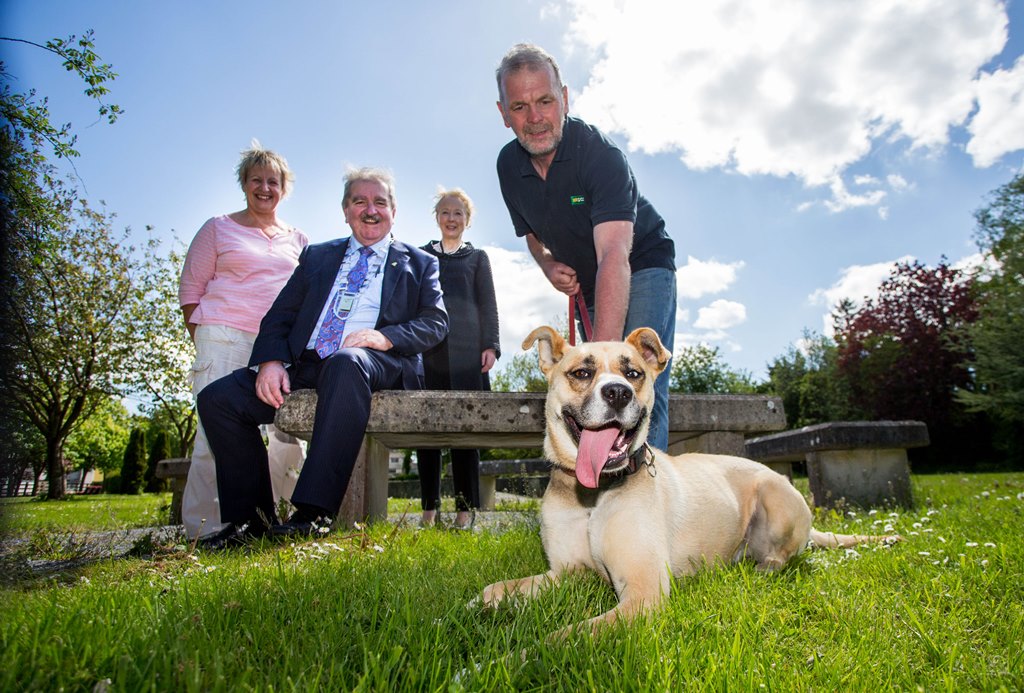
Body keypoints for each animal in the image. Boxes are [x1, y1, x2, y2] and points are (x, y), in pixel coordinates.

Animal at [479, 327, 897, 634]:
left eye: (633, 373)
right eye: (581, 372)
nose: (618, 392)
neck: (593, 497)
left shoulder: (643, 594)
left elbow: (564, 637)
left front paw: (506, 661)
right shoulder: (568, 572)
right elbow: (493, 589)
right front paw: (474, 609)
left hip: (776, 495)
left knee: (782, 557)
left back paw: (757, 568)